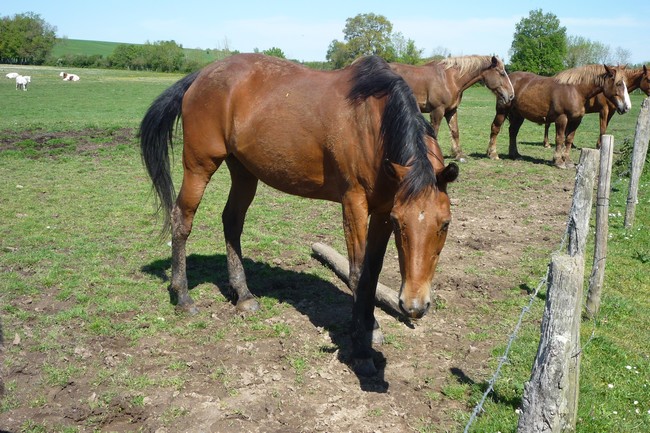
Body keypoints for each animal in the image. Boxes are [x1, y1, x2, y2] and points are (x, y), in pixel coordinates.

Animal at [139, 53, 458, 374]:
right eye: (401, 224)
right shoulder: (354, 203)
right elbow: (358, 273)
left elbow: (373, 272)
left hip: (243, 171)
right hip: (199, 165)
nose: (414, 306)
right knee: (182, 220)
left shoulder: (382, 210)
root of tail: (201, 75)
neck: (372, 122)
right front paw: (361, 348)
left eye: (445, 224)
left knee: (232, 221)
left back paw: (243, 295)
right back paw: (183, 296)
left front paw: (371, 327)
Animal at [486, 64, 628, 169]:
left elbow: (569, 139)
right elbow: (560, 139)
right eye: (618, 83)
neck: (576, 90)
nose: (626, 107)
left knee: (513, 132)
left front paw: (568, 161)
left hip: (518, 115)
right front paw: (558, 161)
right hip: (502, 111)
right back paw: (492, 154)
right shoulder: (562, 118)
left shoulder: (576, 120)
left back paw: (514, 154)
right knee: (495, 129)